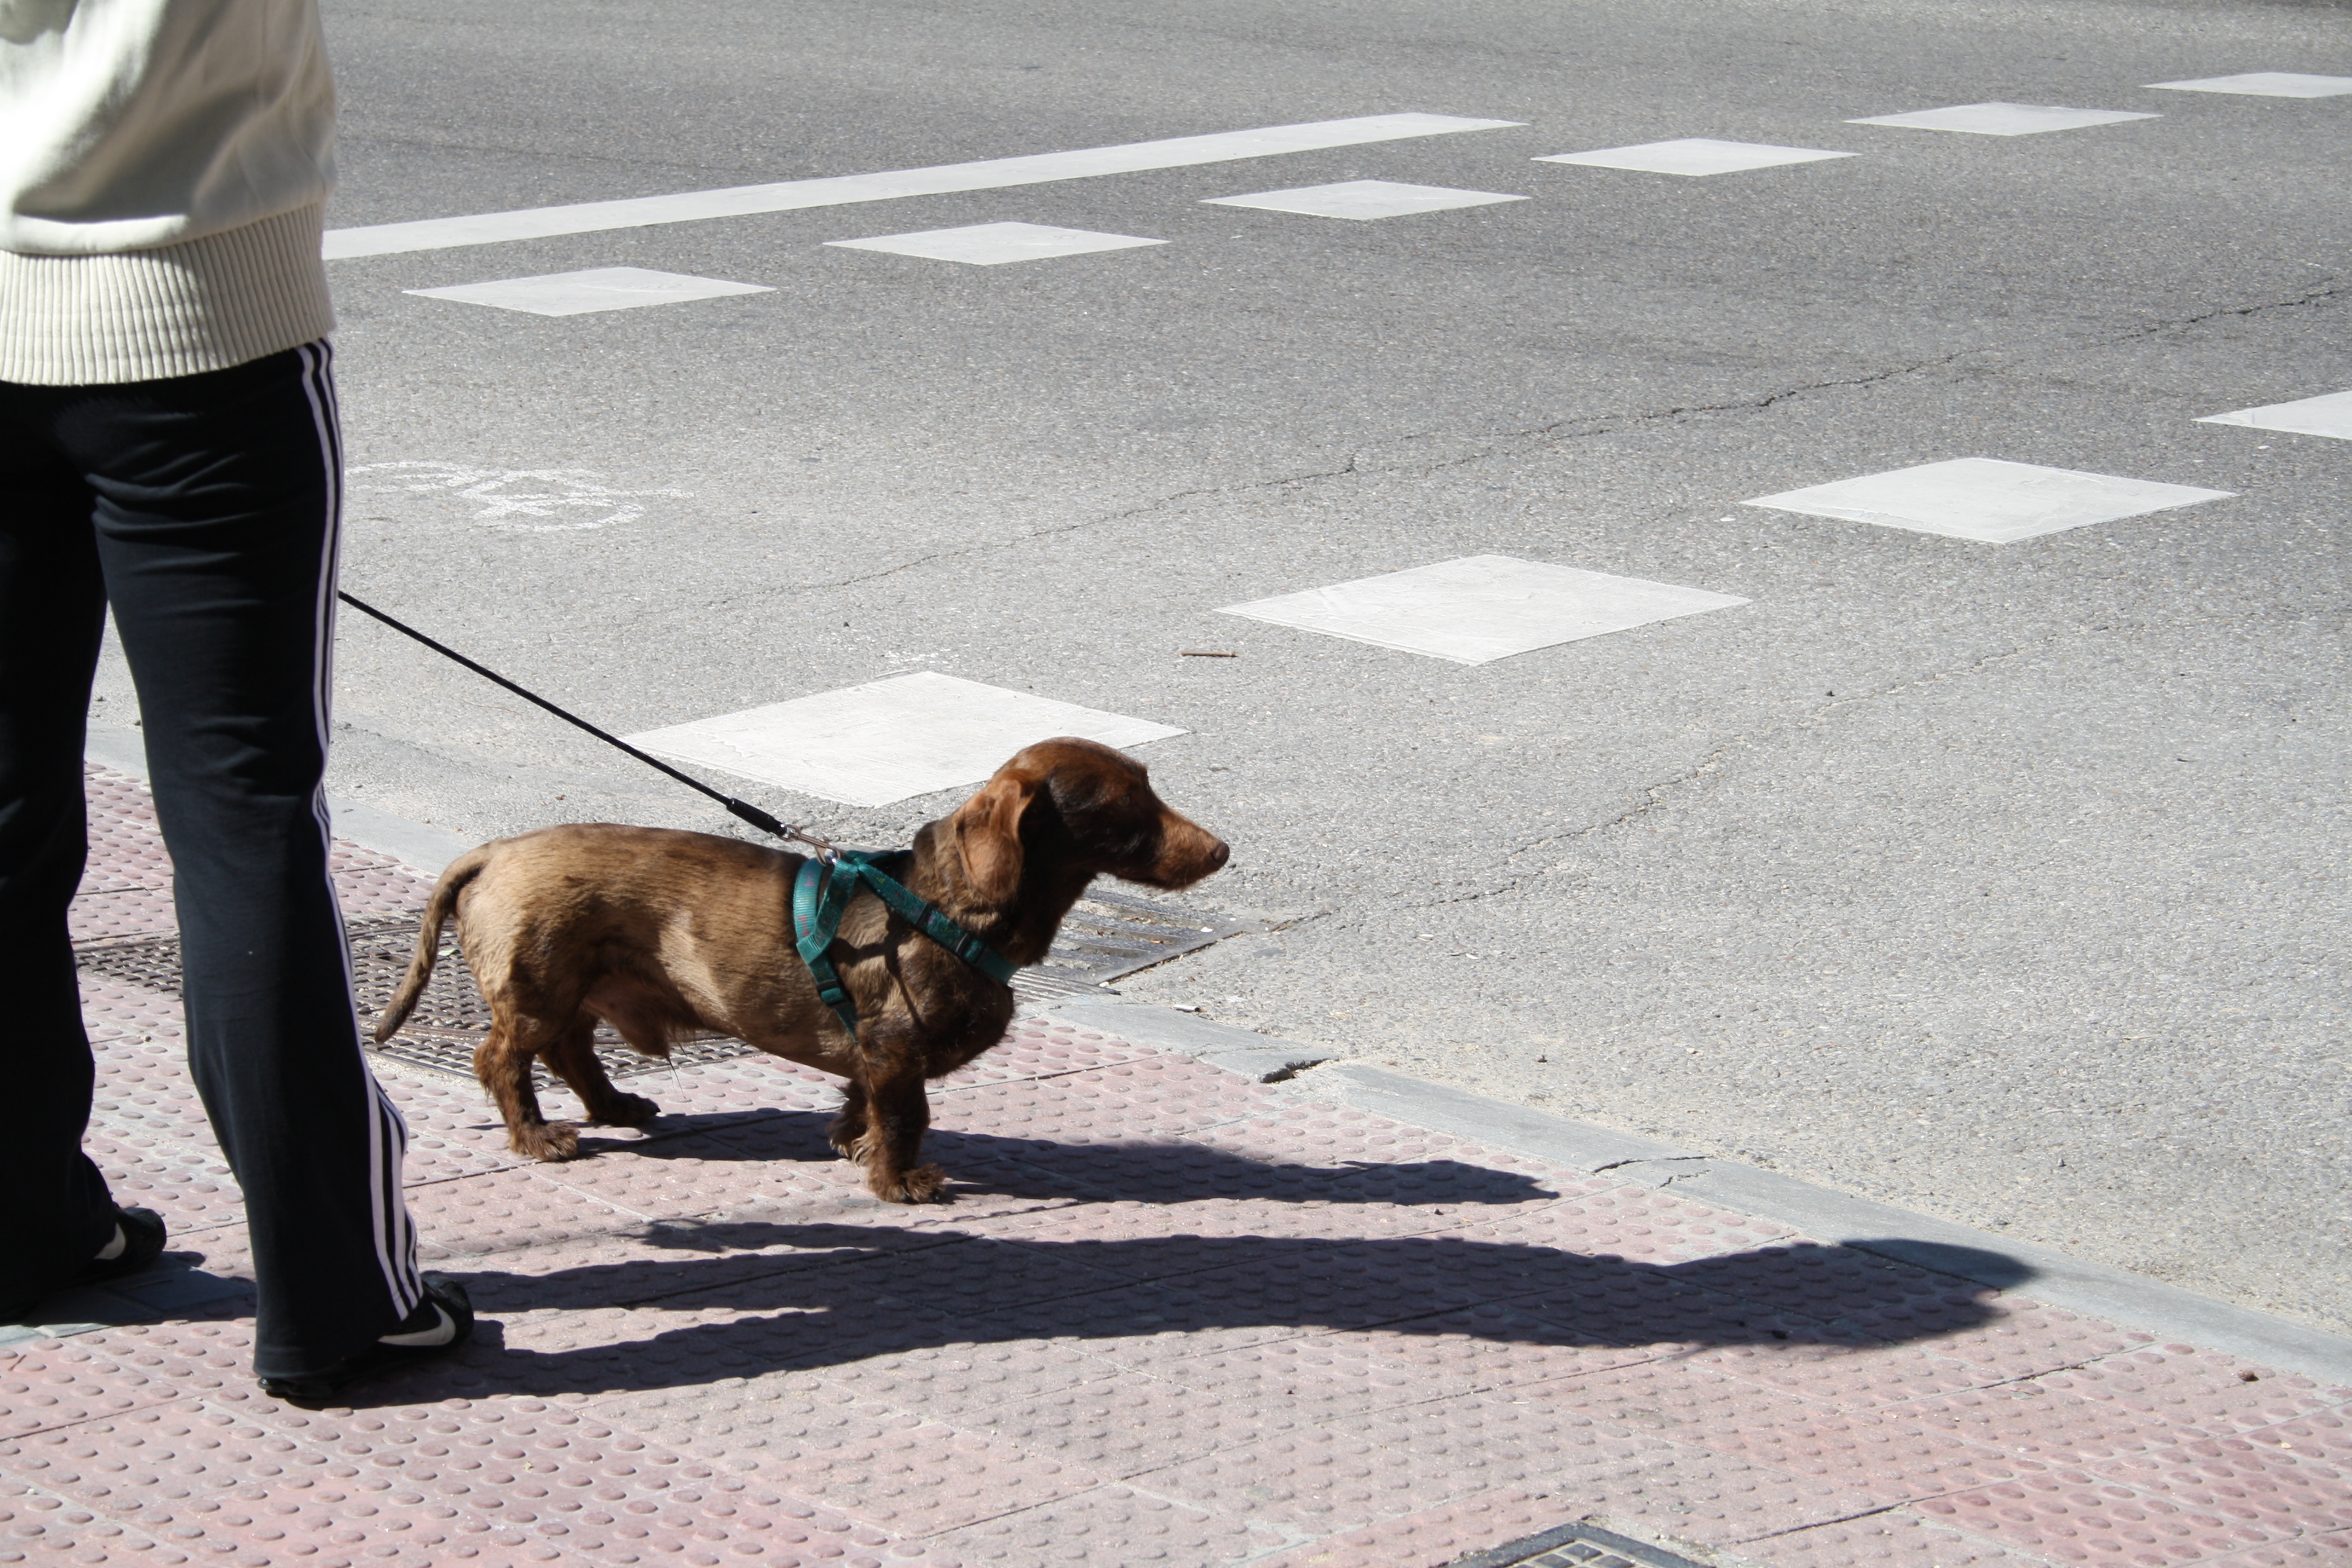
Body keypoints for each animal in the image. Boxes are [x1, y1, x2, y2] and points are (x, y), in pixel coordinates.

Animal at [371, 738, 1232, 1203]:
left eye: (1150, 785)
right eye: (1125, 807)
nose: (1223, 850)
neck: (943, 904)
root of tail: (491, 852)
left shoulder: (873, 1058)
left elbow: (861, 1105)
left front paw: (855, 1145)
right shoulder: (897, 1052)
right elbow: (909, 1119)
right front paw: (897, 1182)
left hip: (571, 991)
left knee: (571, 1051)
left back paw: (613, 1106)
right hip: (538, 990)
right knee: (502, 1060)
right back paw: (537, 1136)